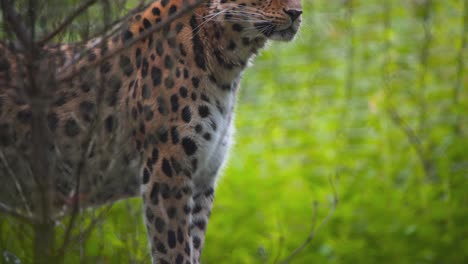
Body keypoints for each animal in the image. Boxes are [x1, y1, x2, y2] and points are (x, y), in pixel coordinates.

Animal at [0, 0, 302, 262]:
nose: (297, 13)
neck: (227, 66)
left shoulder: (203, 178)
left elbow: (193, 245)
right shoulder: (166, 171)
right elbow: (173, 248)